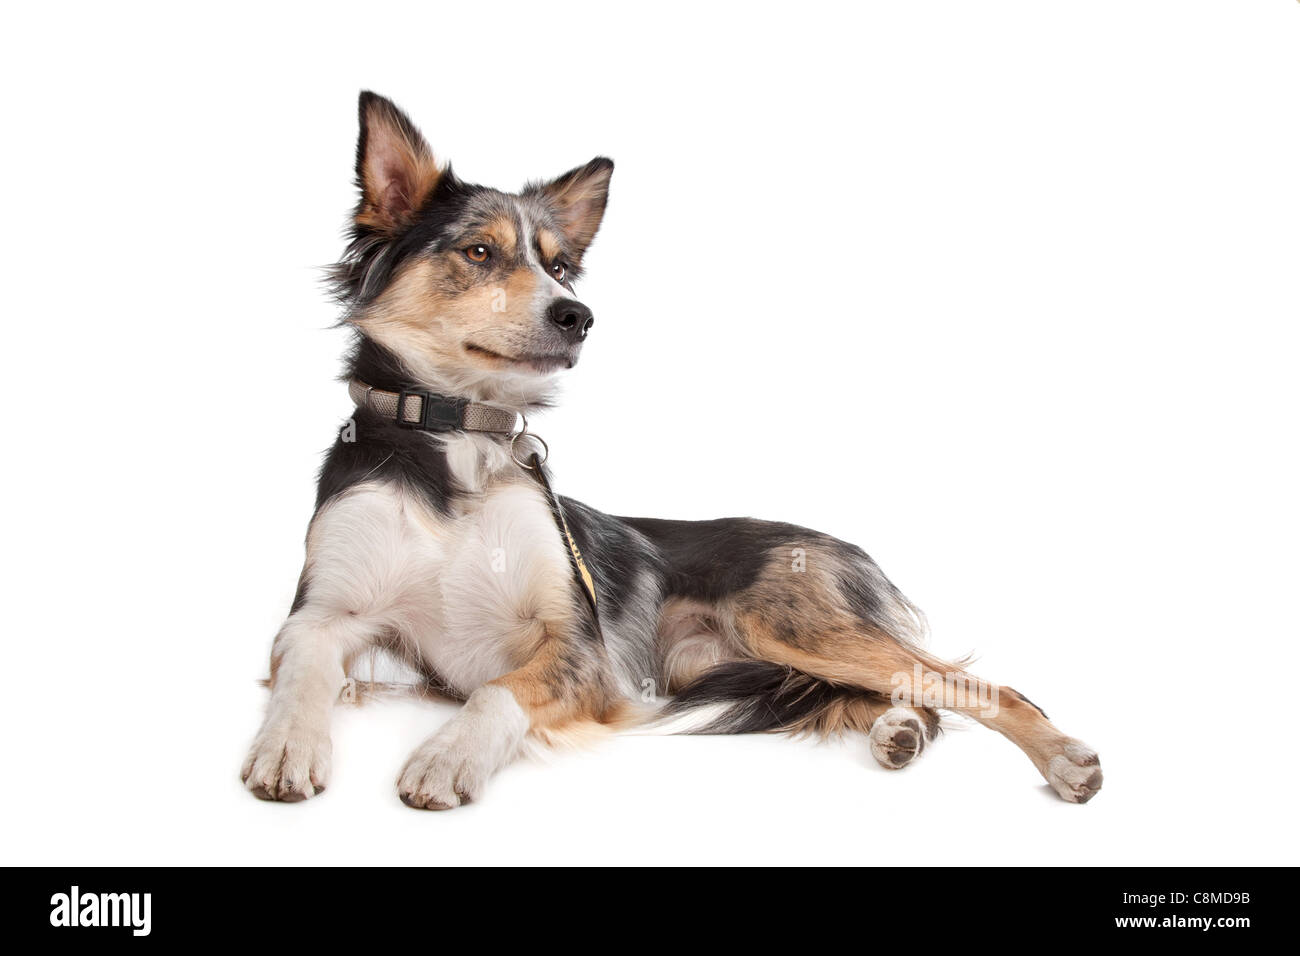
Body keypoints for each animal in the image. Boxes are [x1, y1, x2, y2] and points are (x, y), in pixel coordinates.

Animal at [239, 91, 1102, 806]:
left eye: (560, 265)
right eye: (479, 252)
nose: (577, 315)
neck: (455, 437)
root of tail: (845, 546)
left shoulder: (578, 644)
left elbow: (496, 690)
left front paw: (448, 756)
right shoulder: (325, 611)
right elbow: (304, 665)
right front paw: (286, 745)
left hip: (796, 628)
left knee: (979, 688)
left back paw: (1063, 758)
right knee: (910, 696)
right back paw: (899, 730)